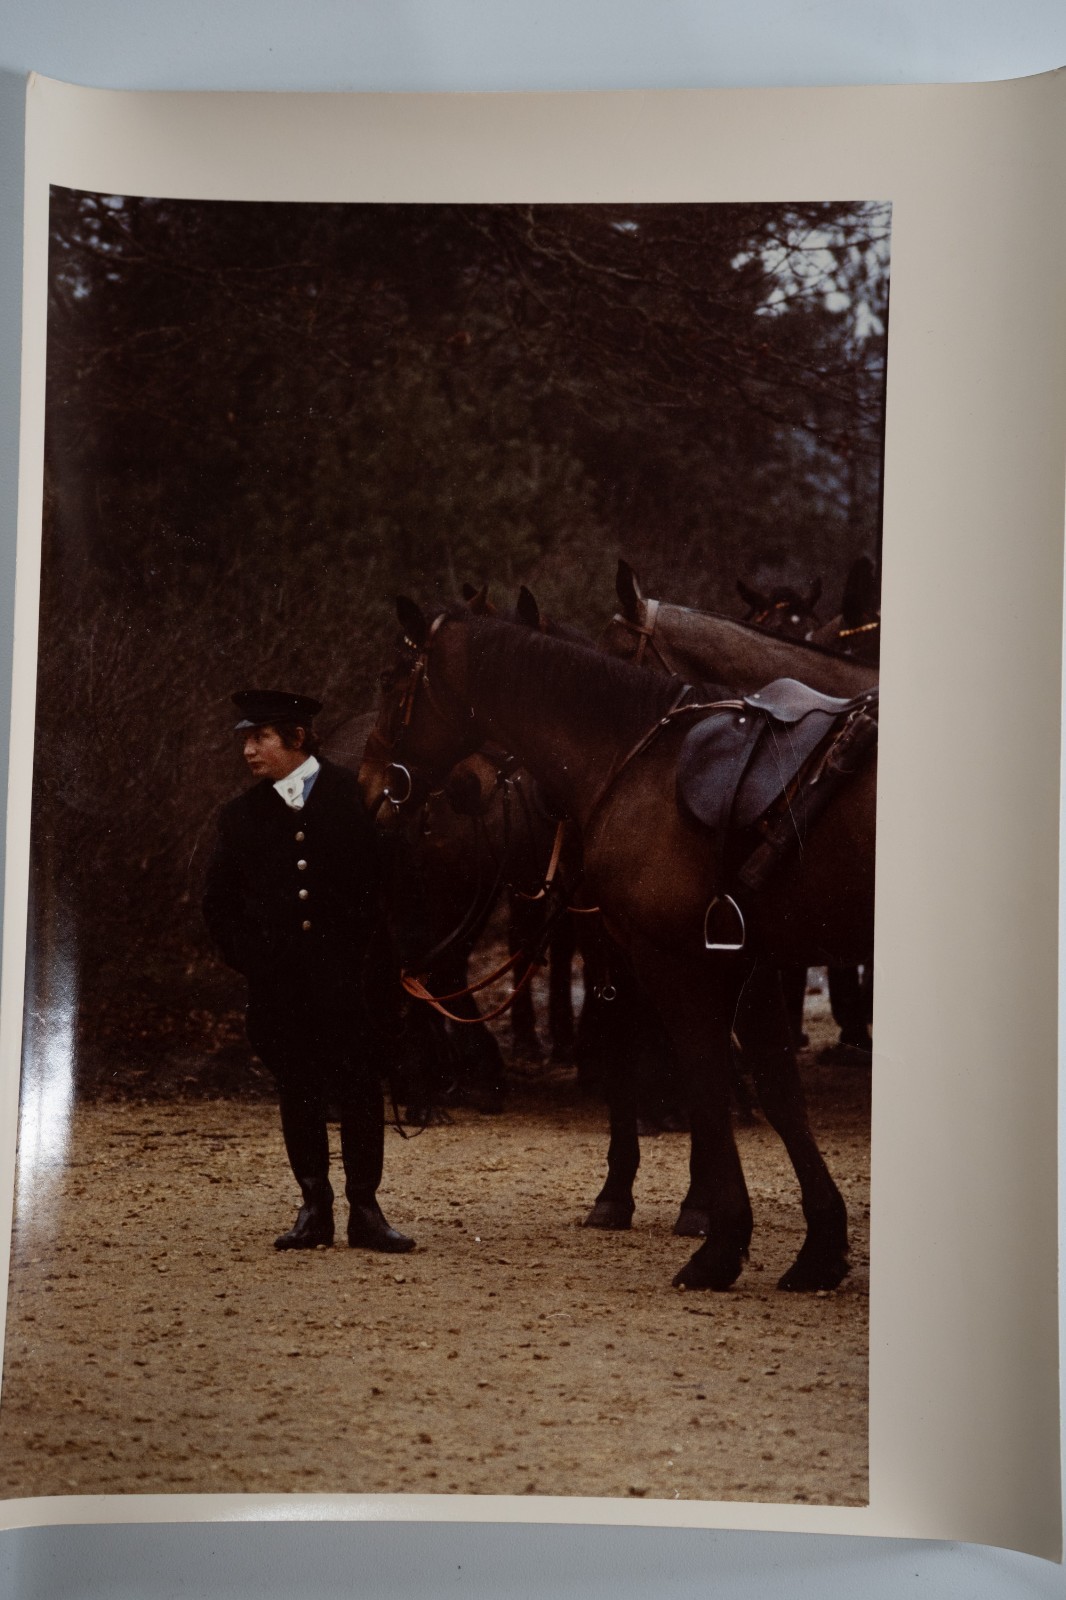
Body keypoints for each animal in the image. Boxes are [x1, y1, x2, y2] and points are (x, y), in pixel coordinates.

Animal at [371, 600, 876, 1292]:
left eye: (395, 684)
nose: (370, 786)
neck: (639, 759)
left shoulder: (678, 962)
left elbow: (705, 1082)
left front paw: (719, 1243)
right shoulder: (743, 960)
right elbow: (776, 1086)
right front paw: (819, 1247)